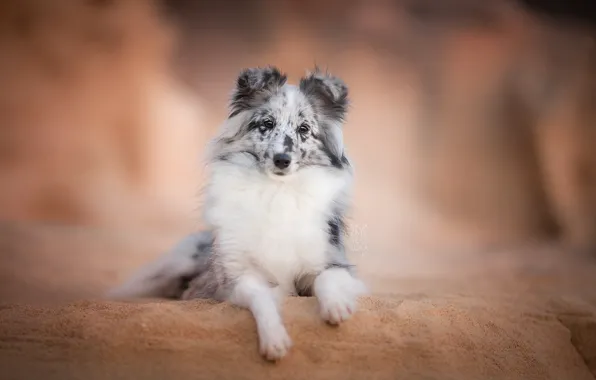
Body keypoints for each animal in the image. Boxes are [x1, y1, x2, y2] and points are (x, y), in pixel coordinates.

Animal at [108, 66, 368, 362]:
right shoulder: (237, 277)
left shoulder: (332, 262)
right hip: (175, 264)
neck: (276, 191)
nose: (282, 160)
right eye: (266, 124)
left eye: (304, 129)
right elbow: (261, 299)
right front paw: (274, 340)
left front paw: (336, 307)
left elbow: (327, 279)